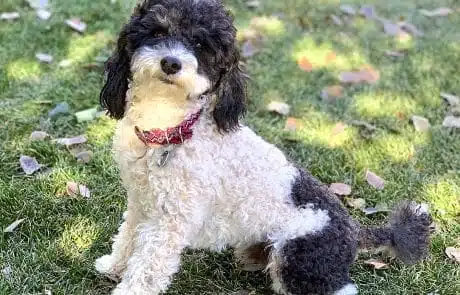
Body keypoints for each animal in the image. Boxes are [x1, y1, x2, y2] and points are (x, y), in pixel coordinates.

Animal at [95, 0, 434, 295]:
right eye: (157, 32)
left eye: (201, 45)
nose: (171, 63)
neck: (173, 129)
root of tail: (354, 228)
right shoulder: (141, 202)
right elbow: (127, 236)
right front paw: (113, 266)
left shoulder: (169, 221)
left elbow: (148, 266)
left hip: (298, 256)